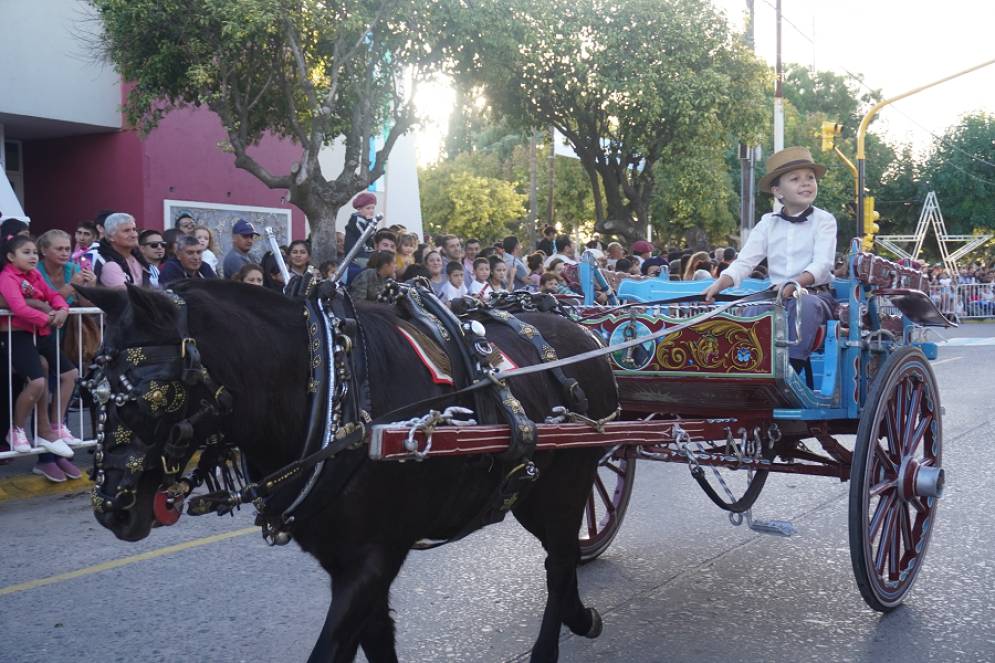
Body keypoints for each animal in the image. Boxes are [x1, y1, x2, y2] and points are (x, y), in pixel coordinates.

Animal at [81, 282, 620, 663]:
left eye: (149, 393)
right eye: (94, 390)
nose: (112, 509)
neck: (331, 391)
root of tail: (584, 331)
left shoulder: (372, 557)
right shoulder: (349, 560)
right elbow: (377, 641)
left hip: (567, 480)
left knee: (559, 560)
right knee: (562, 555)